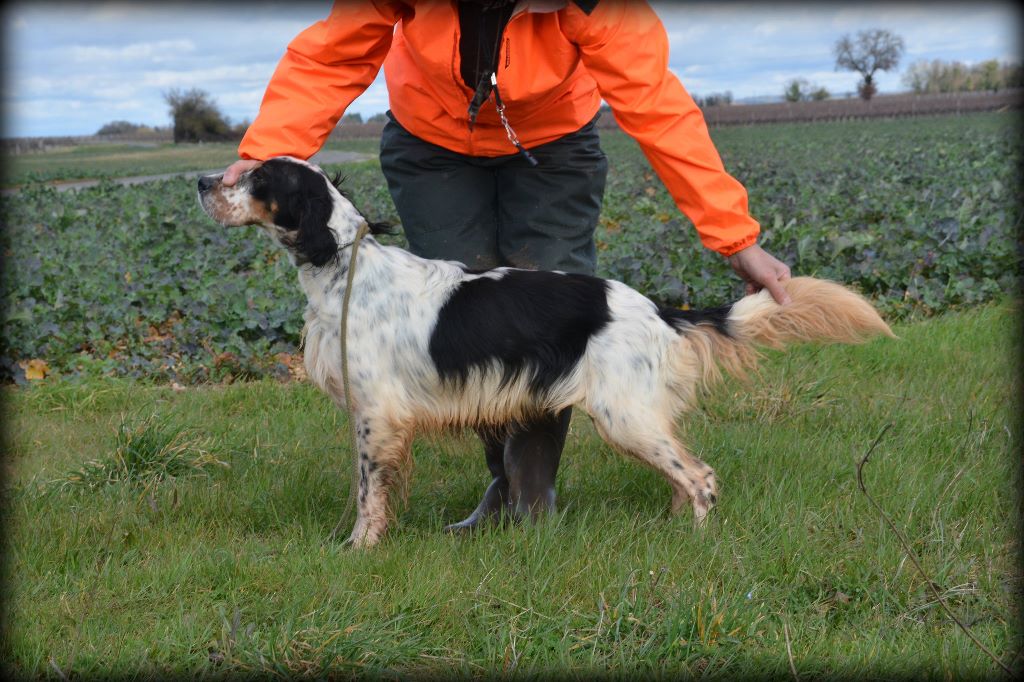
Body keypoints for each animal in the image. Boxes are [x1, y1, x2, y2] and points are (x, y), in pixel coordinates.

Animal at [195, 155, 892, 548]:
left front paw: (359, 548)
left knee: (701, 478)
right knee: (685, 476)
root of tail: (656, 308)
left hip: (624, 415)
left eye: (258, 177)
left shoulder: (376, 415)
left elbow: (369, 494)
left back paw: (694, 543)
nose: (202, 180)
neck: (346, 268)